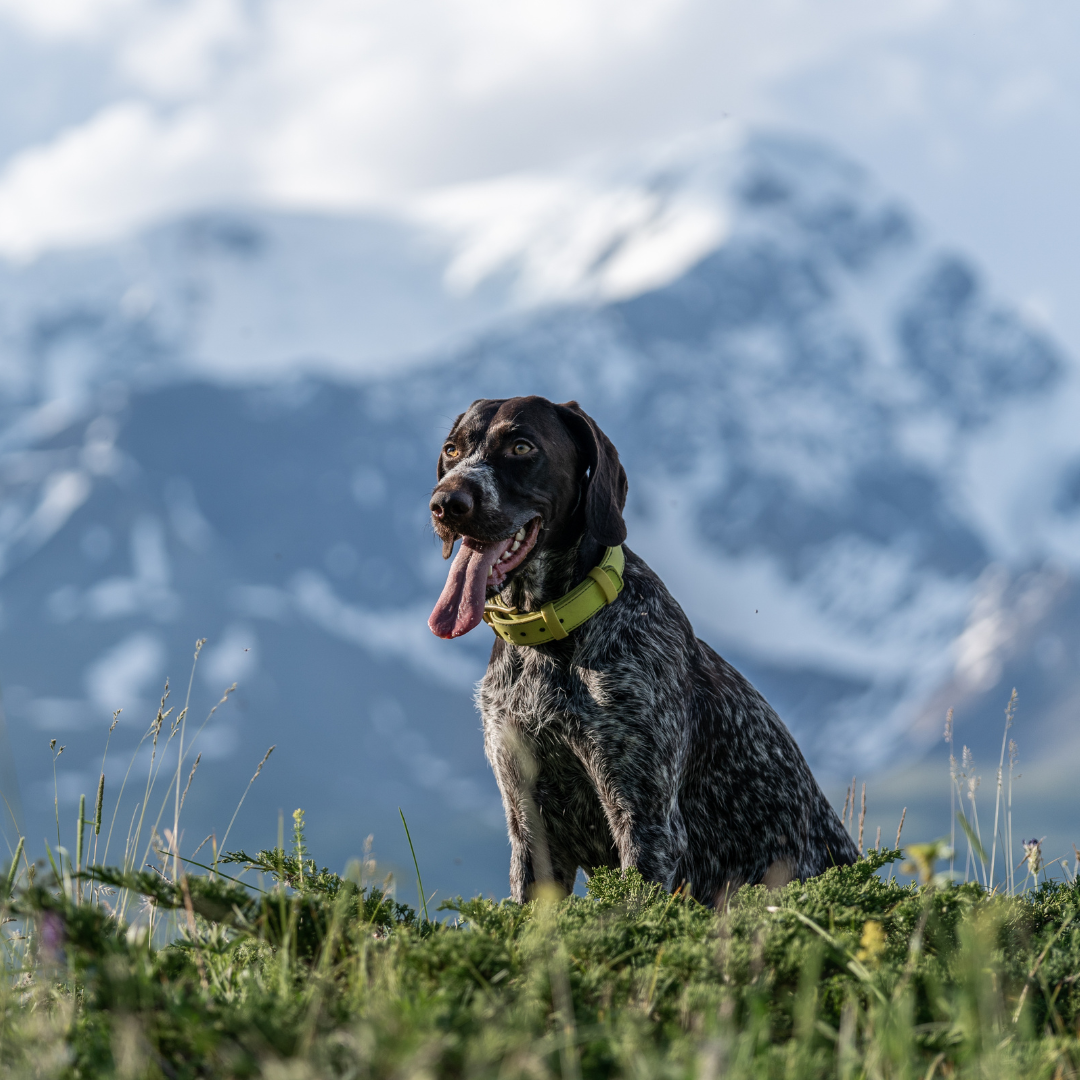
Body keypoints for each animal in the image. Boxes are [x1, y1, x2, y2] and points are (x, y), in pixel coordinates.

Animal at [425, 397, 855, 902]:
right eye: (452, 450)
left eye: (521, 446)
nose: (446, 504)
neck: (548, 642)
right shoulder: (529, 824)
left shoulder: (646, 822)